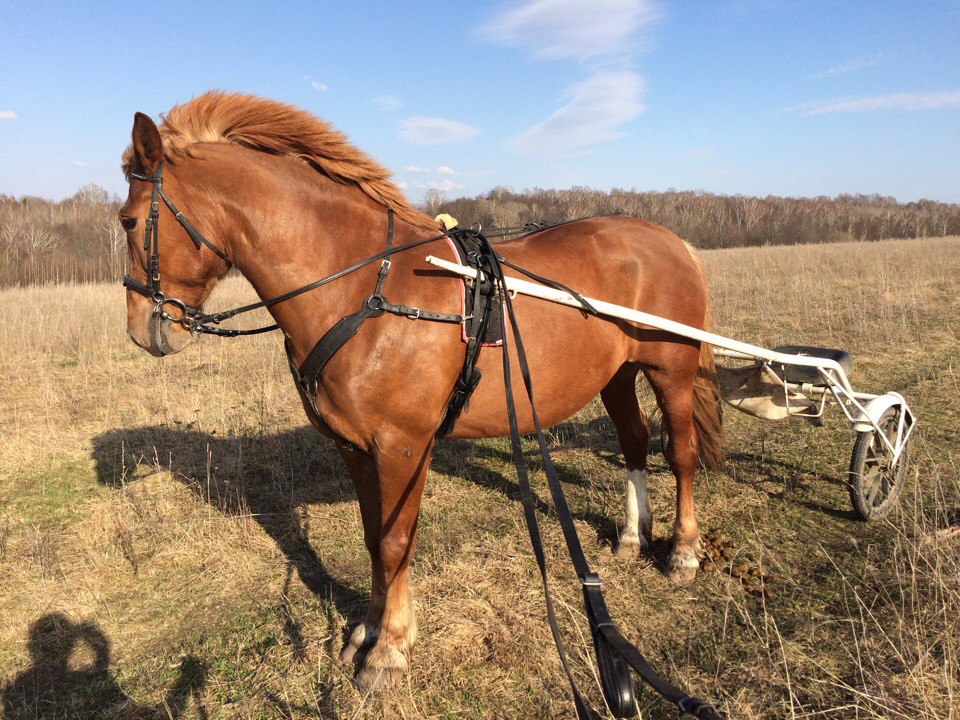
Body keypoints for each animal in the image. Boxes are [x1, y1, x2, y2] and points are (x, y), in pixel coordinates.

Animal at [118, 91, 720, 692]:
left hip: (671, 370)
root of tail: (670, 240)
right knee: (635, 442)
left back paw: (684, 552)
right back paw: (632, 537)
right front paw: (368, 628)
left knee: (680, 453)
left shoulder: (403, 446)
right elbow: (372, 538)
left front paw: (389, 648)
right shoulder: (354, 446)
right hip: (617, 374)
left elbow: (395, 542)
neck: (363, 289)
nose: (143, 328)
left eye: (127, 220)